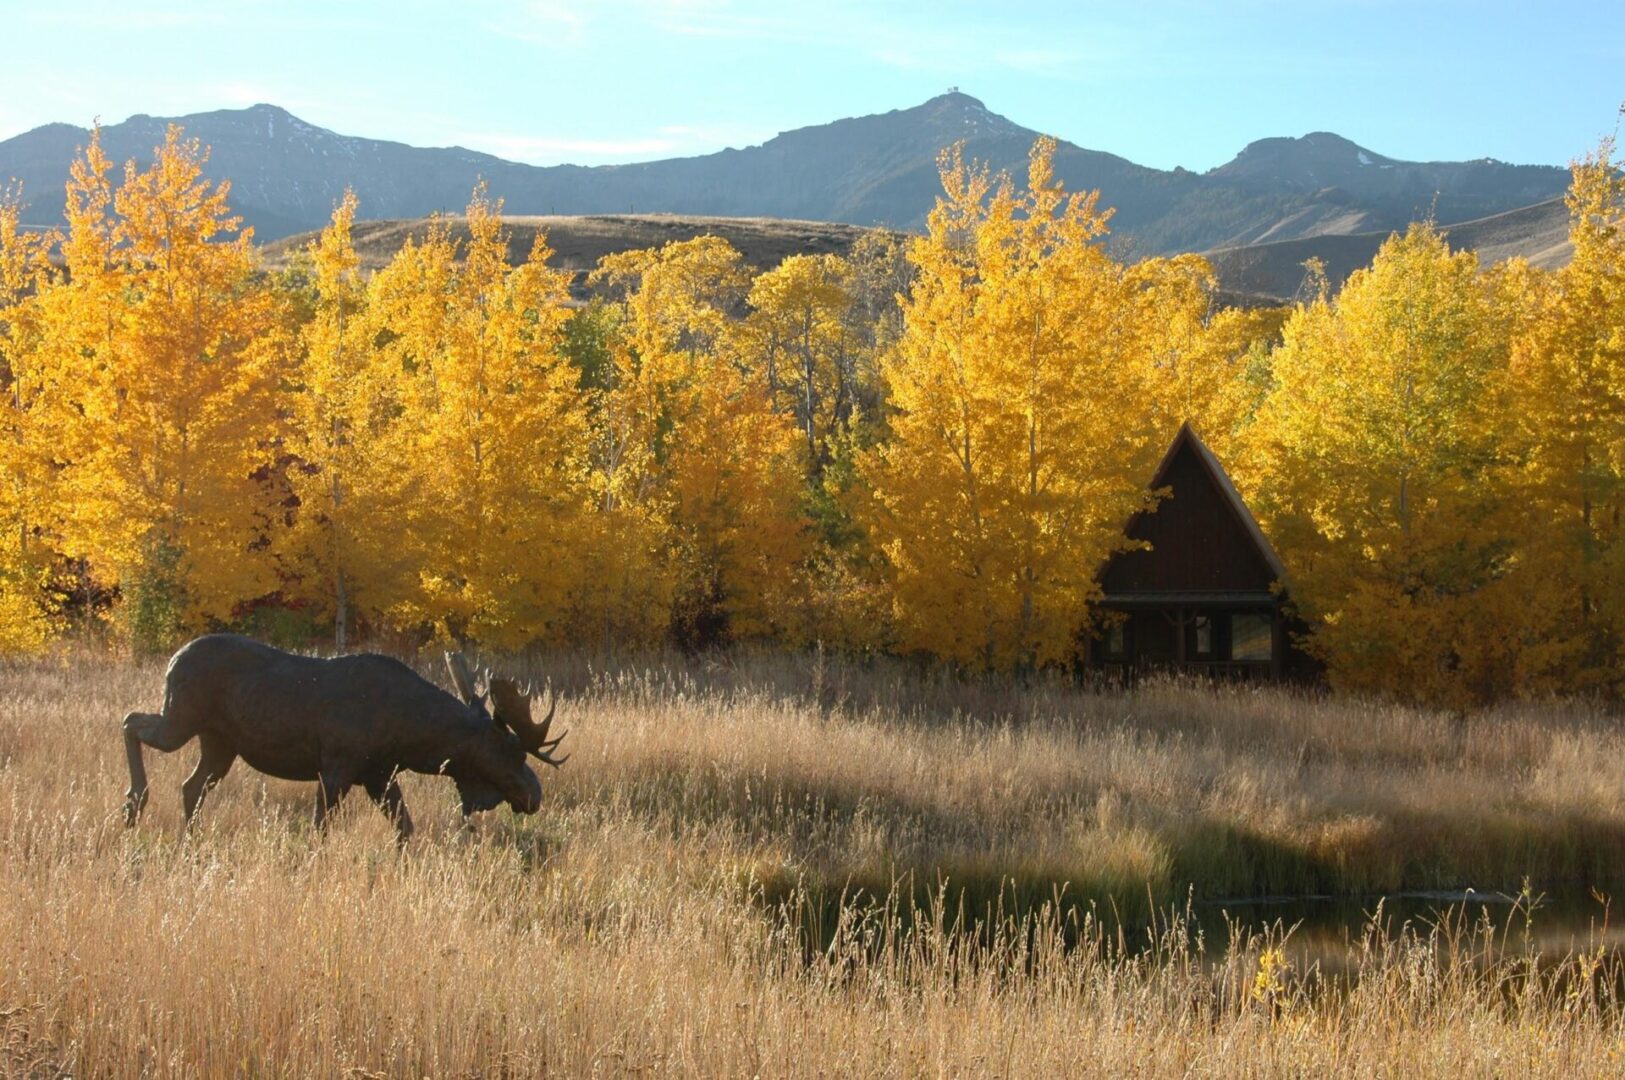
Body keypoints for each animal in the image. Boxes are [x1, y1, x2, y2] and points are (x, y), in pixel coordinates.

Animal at [120, 633, 565, 844]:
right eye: (510, 752)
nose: (535, 795)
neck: (413, 737)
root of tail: (173, 659)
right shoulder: (336, 768)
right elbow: (319, 829)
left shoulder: (379, 774)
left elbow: (405, 827)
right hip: (181, 717)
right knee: (131, 721)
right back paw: (134, 803)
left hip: (219, 743)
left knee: (191, 785)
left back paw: (189, 839)